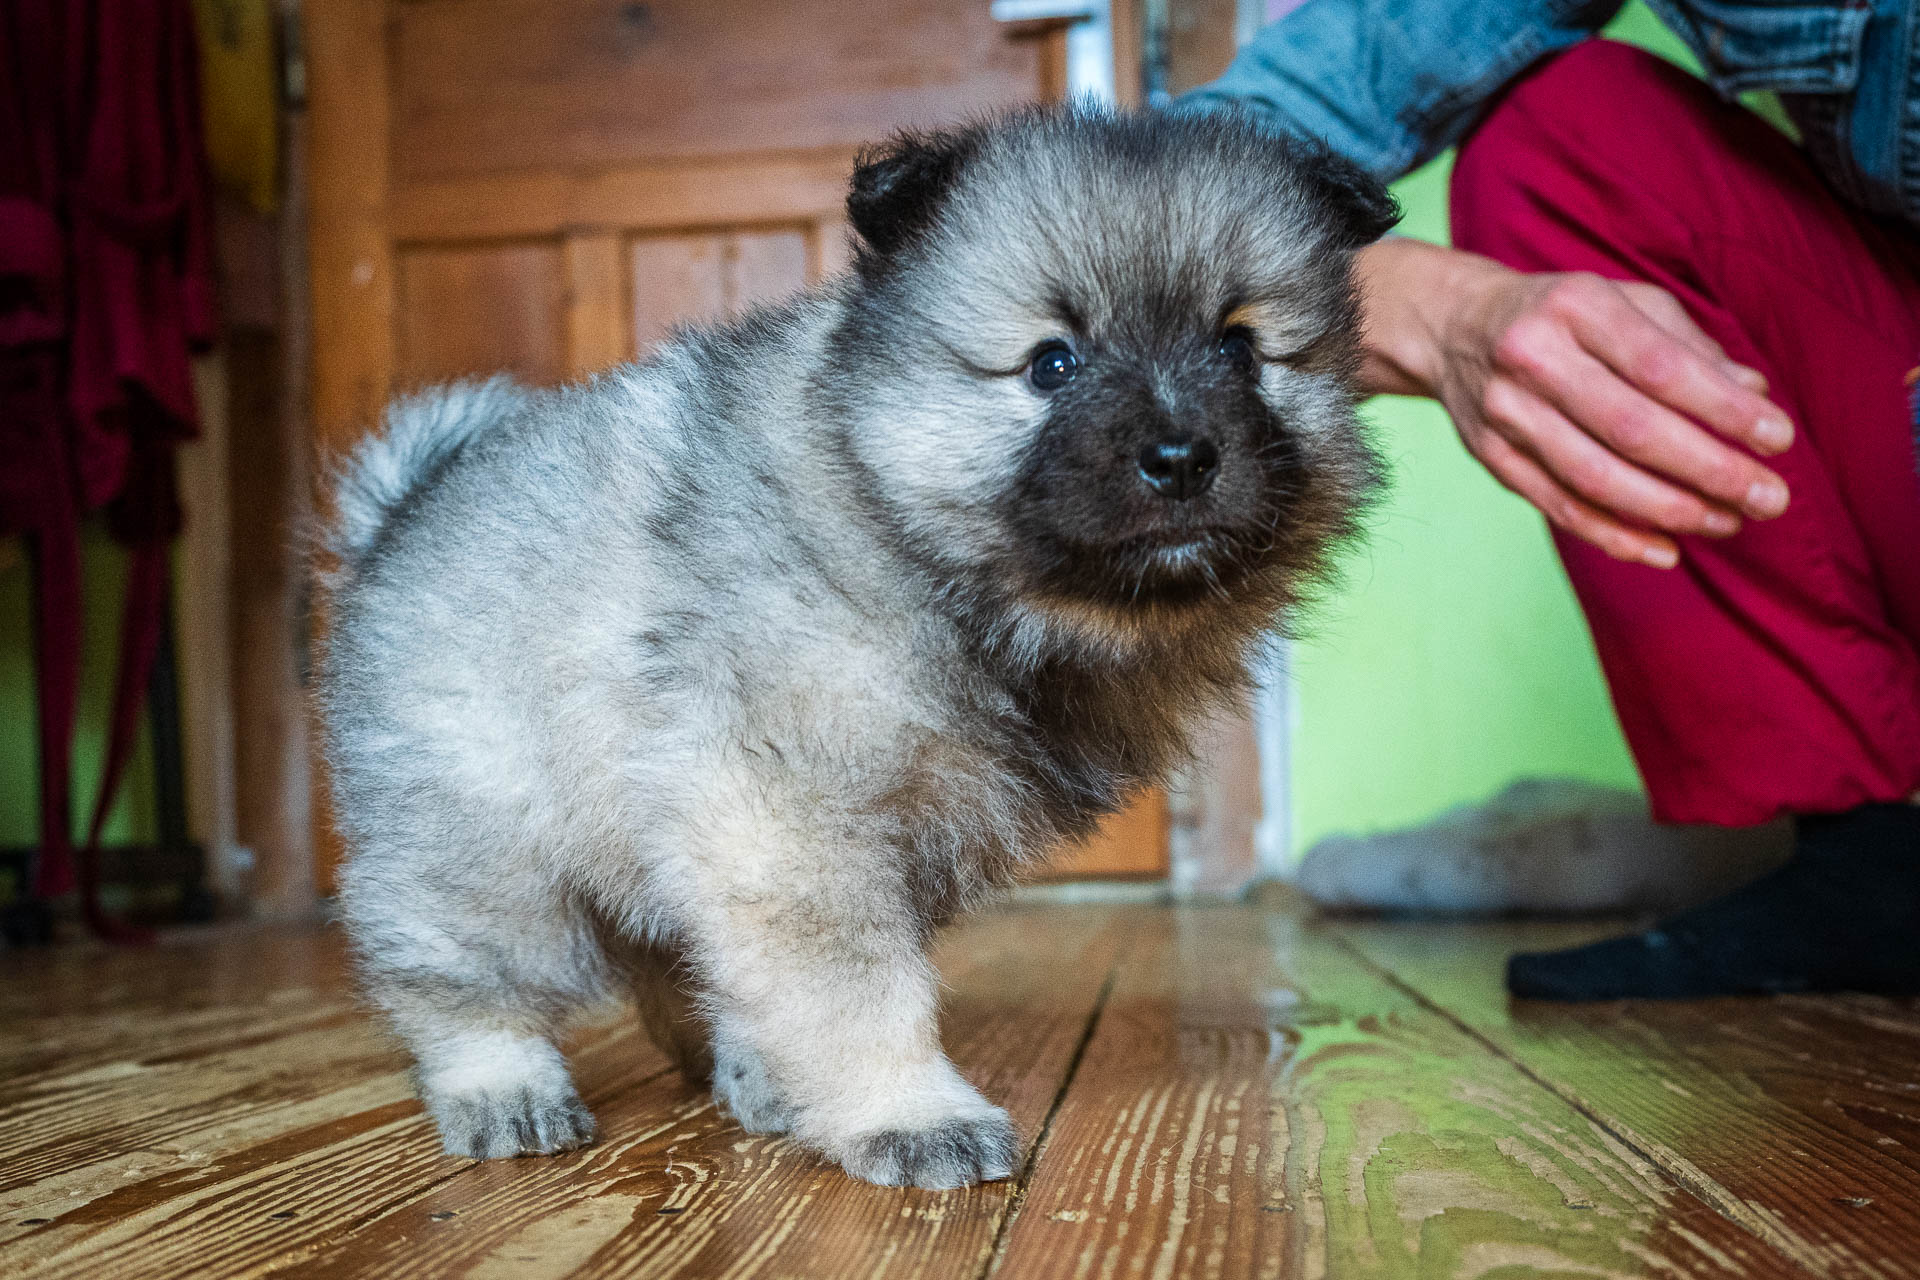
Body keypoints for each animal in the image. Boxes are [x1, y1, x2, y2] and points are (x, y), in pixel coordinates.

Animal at [314, 102, 1397, 1189]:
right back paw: (504, 1087)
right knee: (459, 975)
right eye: (1052, 364)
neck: (911, 540)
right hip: (491, 840)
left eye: (1241, 351)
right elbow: (858, 989)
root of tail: (398, 514)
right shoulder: (788, 813)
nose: (1179, 457)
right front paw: (909, 1112)